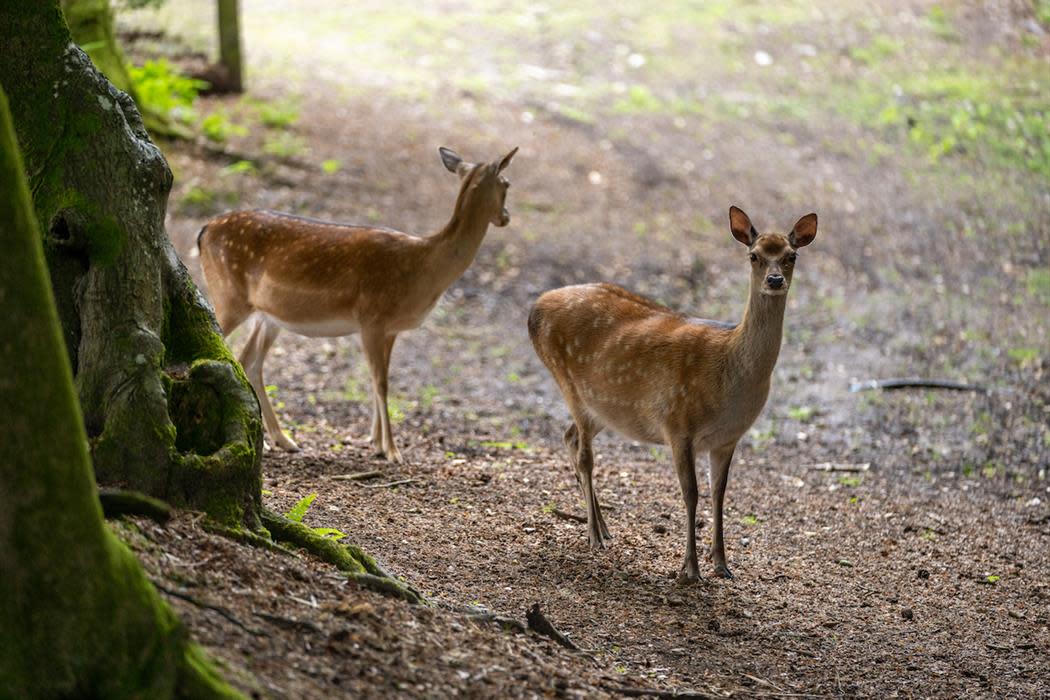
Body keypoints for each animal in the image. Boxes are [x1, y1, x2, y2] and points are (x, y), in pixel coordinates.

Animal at [198, 146, 518, 462]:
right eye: (506, 184)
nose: (506, 217)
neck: (424, 268)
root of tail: (204, 231)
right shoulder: (372, 317)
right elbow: (381, 382)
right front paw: (392, 450)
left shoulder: (389, 328)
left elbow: (379, 379)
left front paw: (375, 441)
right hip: (229, 296)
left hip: (268, 316)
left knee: (248, 361)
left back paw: (281, 439)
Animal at [528, 206, 817, 582]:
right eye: (753, 255)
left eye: (791, 256)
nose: (775, 280)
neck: (730, 375)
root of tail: (534, 309)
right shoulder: (678, 425)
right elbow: (691, 493)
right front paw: (690, 569)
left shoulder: (728, 437)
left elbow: (719, 493)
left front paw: (721, 564)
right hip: (569, 383)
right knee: (584, 455)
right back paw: (594, 536)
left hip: (605, 407)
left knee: (569, 436)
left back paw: (604, 527)